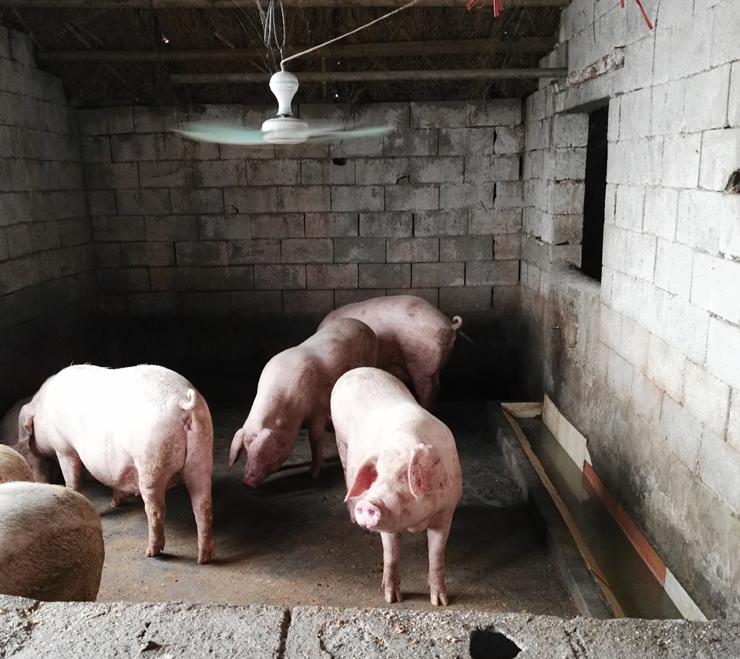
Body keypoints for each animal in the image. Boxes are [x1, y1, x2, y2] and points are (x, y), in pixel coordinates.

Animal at [18, 364, 215, 564]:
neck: (43, 408)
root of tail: (183, 401)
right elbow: (115, 480)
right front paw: (116, 503)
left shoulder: (63, 447)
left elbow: (72, 477)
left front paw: (72, 492)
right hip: (202, 453)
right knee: (203, 505)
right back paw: (204, 557)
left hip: (151, 463)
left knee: (156, 510)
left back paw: (151, 552)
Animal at [230, 318, 378, 489]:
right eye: (246, 451)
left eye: (261, 453)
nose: (246, 483)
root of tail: (362, 324)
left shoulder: (318, 414)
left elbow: (315, 440)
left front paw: (313, 475)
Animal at [331, 367, 462, 606]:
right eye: (377, 475)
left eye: (404, 475)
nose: (368, 503)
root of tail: (353, 370)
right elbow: (391, 555)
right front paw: (392, 598)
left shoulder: (445, 512)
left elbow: (436, 555)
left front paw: (440, 602)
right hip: (340, 439)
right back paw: (352, 517)